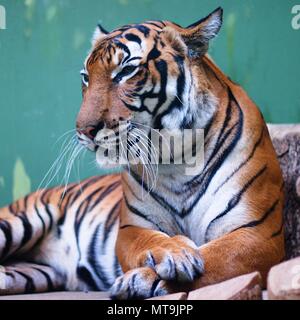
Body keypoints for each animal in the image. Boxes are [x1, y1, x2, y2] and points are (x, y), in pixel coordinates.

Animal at [0, 6, 284, 298]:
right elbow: (150, 240)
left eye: (126, 71)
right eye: (86, 77)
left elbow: (218, 258)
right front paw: (173, 255)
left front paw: (146, 279)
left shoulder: (258, 233)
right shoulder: (131, 228)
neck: (178, 160)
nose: (84, 130)